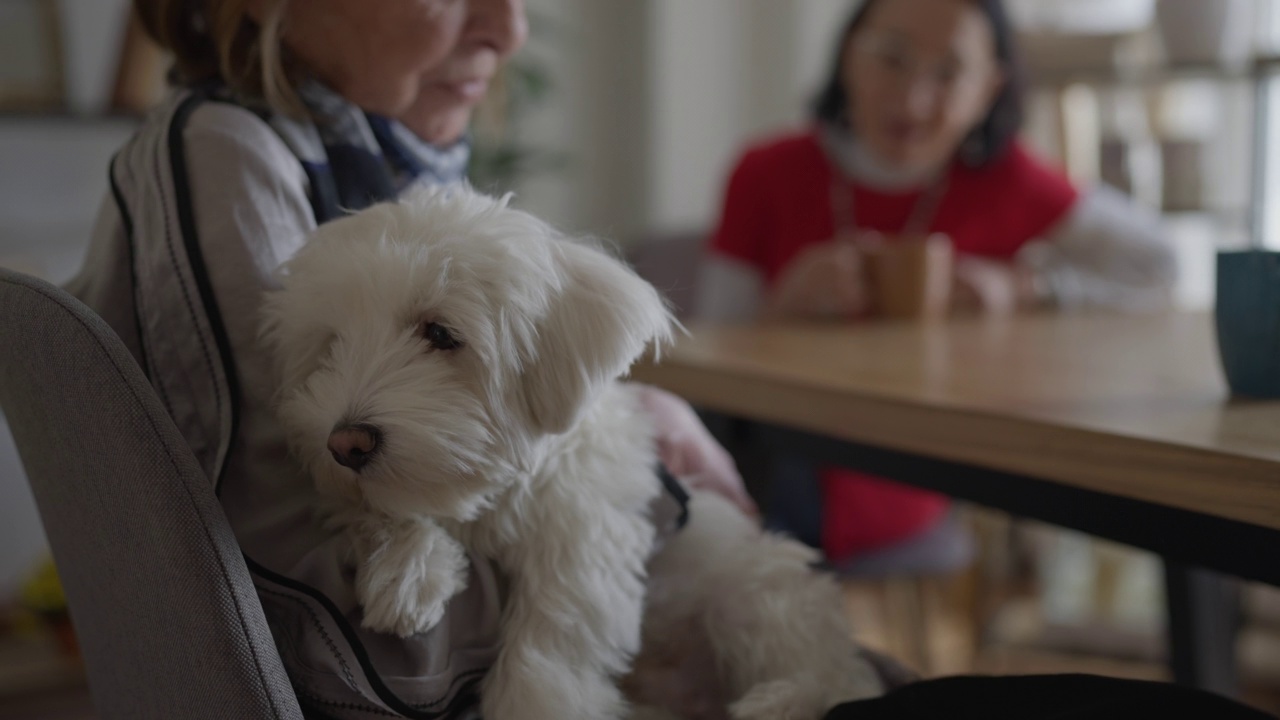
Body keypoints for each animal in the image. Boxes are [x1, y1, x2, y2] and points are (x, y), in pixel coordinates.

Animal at [259, 185, 880, 717]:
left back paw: (781, 700)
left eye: (439, 333)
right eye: (331, 347)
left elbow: (550, 646)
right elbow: (374, 507)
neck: (492, 490)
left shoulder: (586, 534)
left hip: (751, 587)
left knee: (831, 670)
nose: (345, 442)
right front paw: (407, 572)